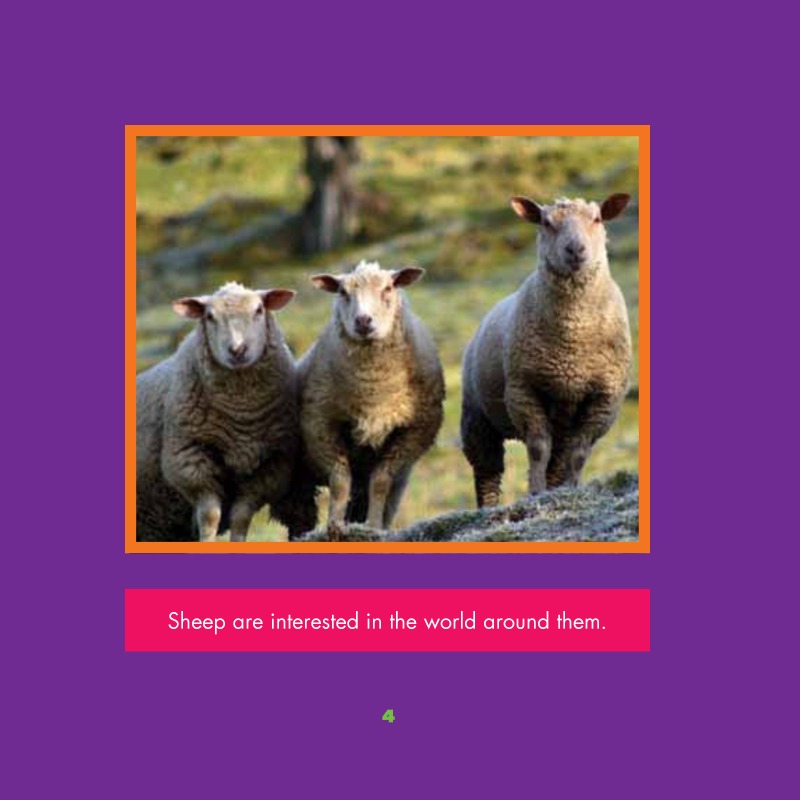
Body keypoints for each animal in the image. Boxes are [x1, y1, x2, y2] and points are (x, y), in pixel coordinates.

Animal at [136, 281, 303, 542]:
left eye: (259, 310)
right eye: (209, 317)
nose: (237, 350)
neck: (241, 414)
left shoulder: (269, 466)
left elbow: (241, 516)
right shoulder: (191, 459)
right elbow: (210, 515)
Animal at [297, 261, 445, 534]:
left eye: (388, 288)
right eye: (343, 292)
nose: (363, 321)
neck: (372, 393)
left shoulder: (411, 433)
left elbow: (380, 482)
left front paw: (373, 526)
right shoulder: (320, 426)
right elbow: (340, 481)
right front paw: (334, 526)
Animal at [461, 193, 633, 507]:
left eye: (597, 219)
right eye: (546, 222)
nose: (575, 249)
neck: (572, 337)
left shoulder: (603, 399)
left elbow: (578, 455)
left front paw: (572, 489)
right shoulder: (524, 390)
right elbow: (538, 448)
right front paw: (535, 492)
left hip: (563, 419)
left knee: (559, 458)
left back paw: (557, 488)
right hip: (476, 416)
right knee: (487, 468)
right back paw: (487, 506)